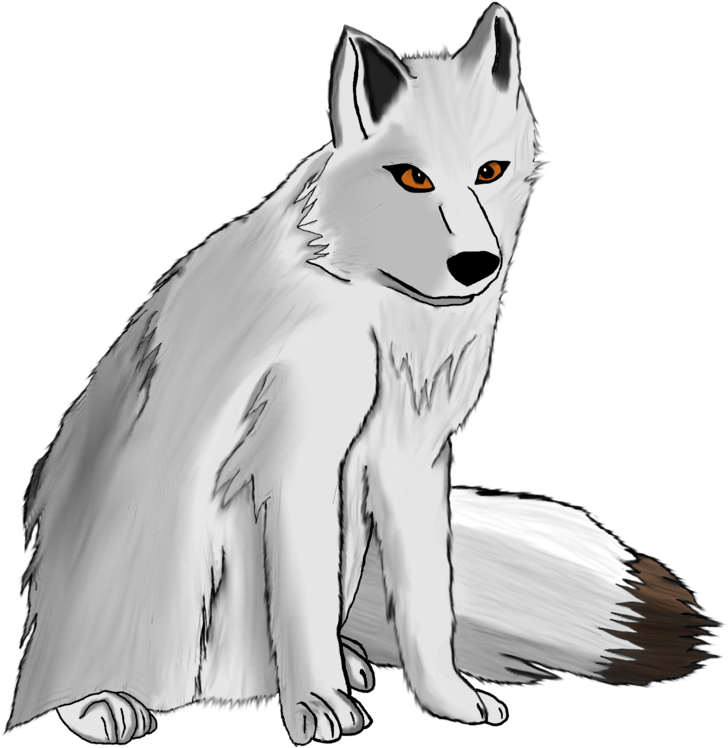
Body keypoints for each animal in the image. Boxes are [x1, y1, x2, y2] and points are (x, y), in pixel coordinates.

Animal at [8, 4, 711, 745]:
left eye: (490, 171)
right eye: (413, 178)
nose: (477, 265)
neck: (381, 306)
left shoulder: (412, 458)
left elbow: (430, 606)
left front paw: (447, 700)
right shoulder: (299, 461)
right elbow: (304, 602)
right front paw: (318, 705)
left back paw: (334, 666)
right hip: (172, 564)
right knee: (78, 683)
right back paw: (104, 701)